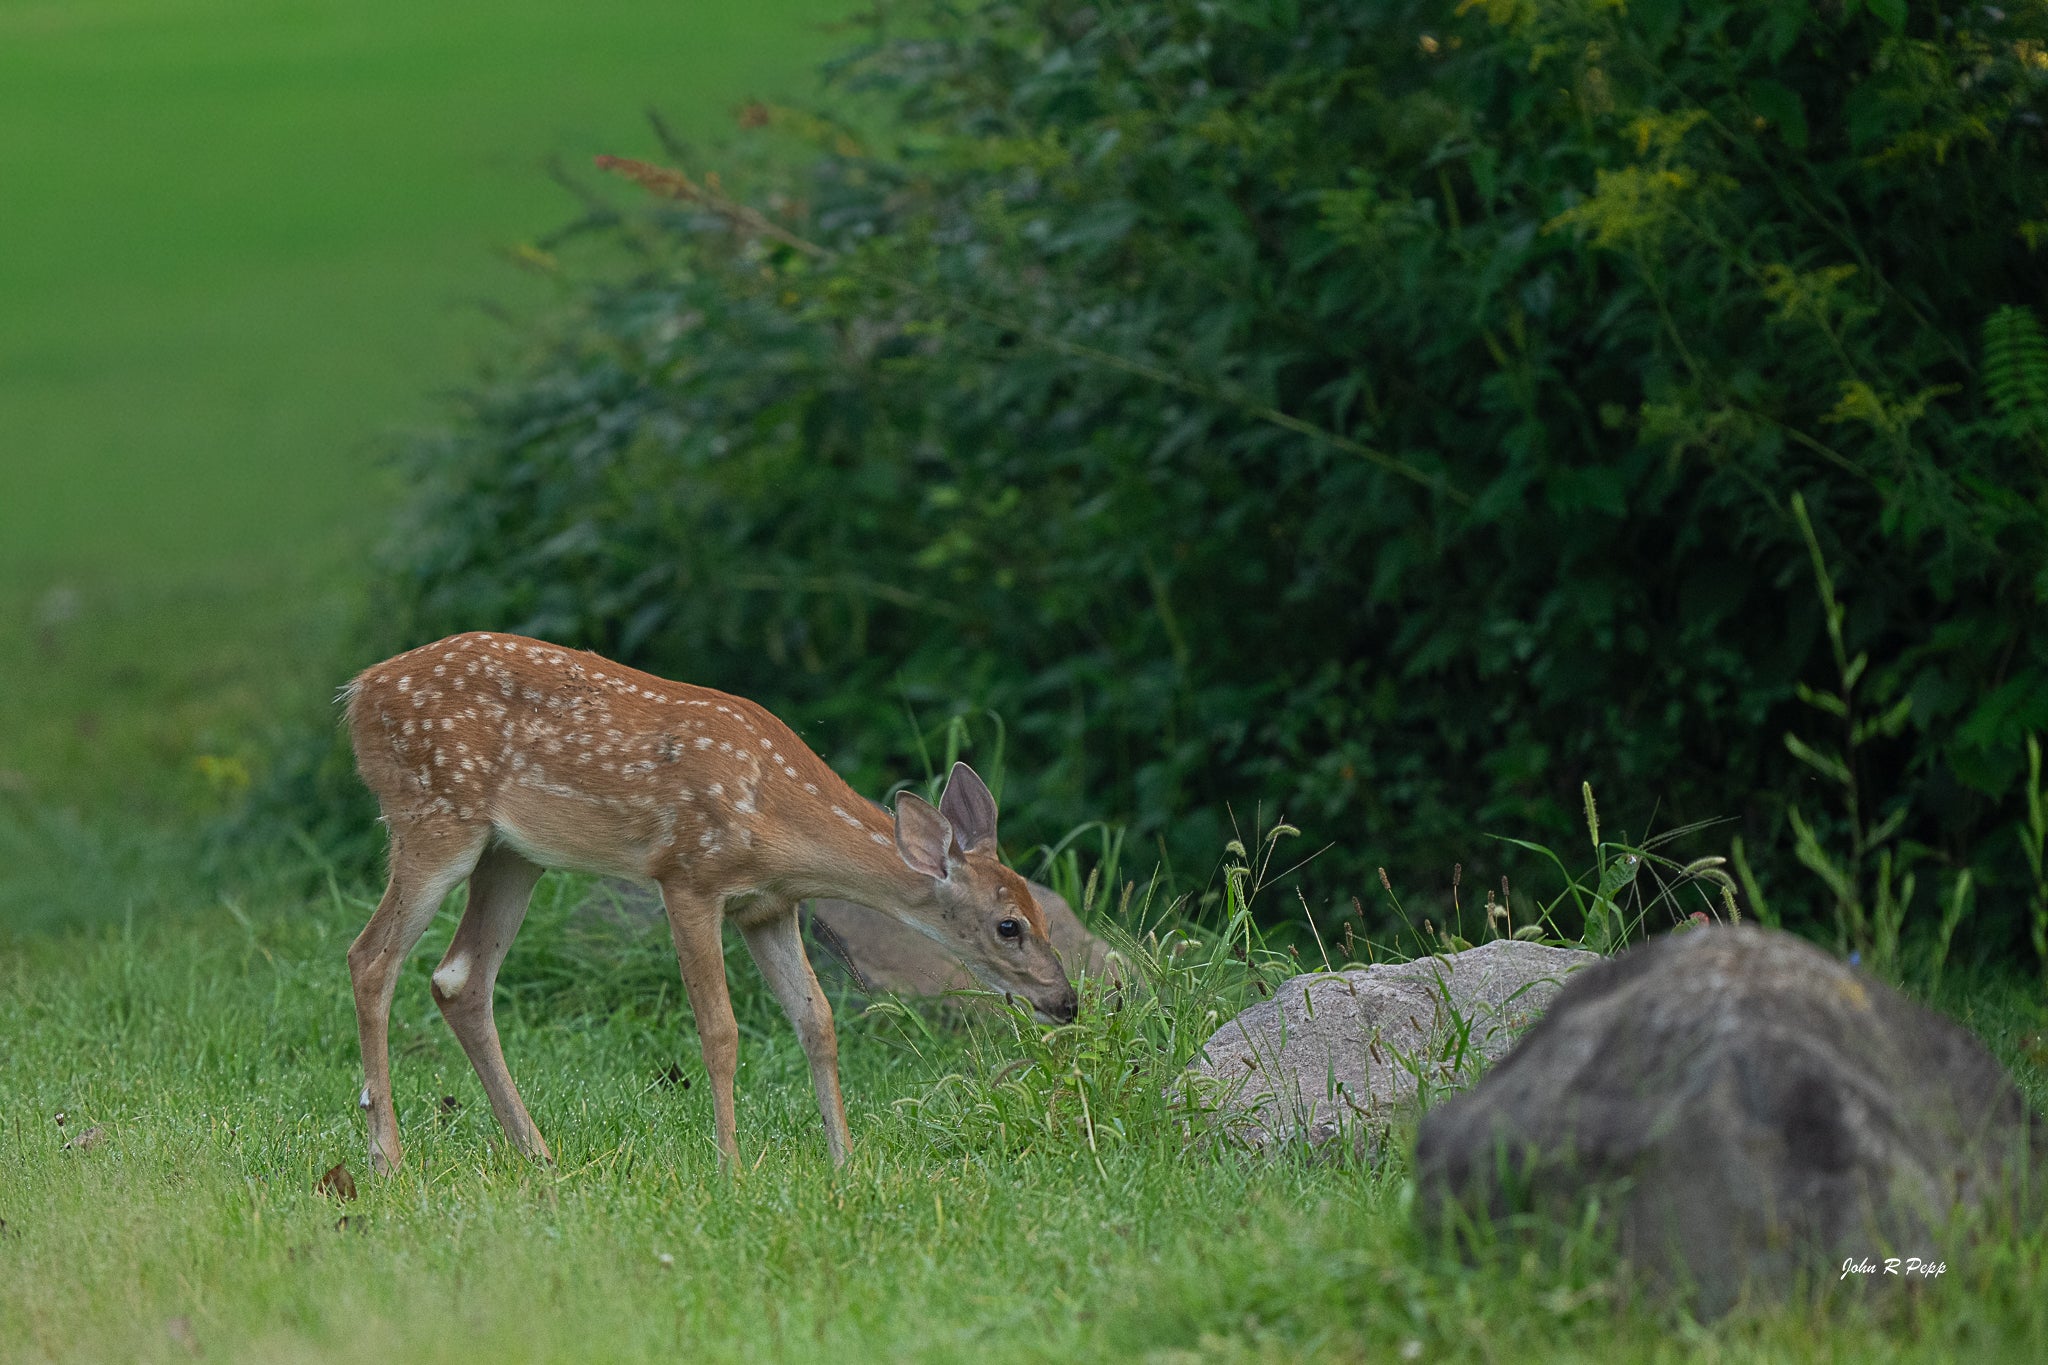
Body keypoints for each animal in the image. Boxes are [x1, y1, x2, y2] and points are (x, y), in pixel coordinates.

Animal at [340, 631, 1077, 1174]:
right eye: (1008, 925)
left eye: (1046, 918)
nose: (1067, 1001)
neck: (775, 816)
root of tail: (359, 690)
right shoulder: (689, 876)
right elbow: (719, 1030)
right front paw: (730, 1165)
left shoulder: (768, 906)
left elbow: (818, 1019)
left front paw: (843, 1160)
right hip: (434, 819)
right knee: (370, 957)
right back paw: (388, 1158)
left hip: (514, 857)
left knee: (458, 977)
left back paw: (537, 1151)